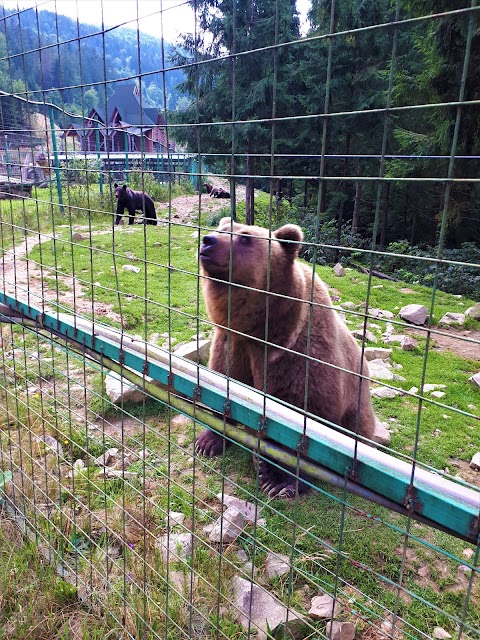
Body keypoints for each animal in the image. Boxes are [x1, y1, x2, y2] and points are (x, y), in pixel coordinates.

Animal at [197, 218, 380, 498]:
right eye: (221, 229)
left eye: (245, 237)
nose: (208, 241)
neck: (262, 329)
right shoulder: (232, 344)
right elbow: (222, 385)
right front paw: (207, 442)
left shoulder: (298, 355)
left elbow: (305, 421)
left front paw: (280, 480)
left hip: (357, 411)